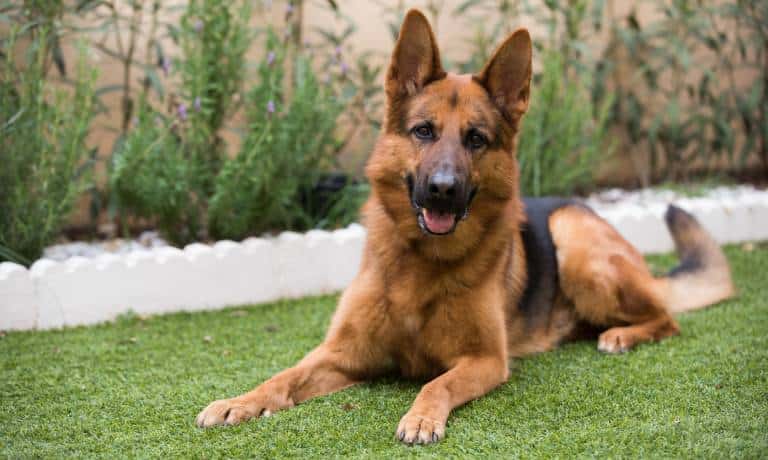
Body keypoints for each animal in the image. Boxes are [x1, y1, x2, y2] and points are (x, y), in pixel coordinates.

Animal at [196, 9, 732, 442]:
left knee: (666, 316)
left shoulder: (484, 361)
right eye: (423, 131)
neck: (420, 264)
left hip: (575, 244)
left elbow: (438, 382)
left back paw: (621, 335)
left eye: (476, 139)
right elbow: (283, 376)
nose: (443, 189)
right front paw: (239, 401)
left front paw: (420, 418)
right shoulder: (340, 355)